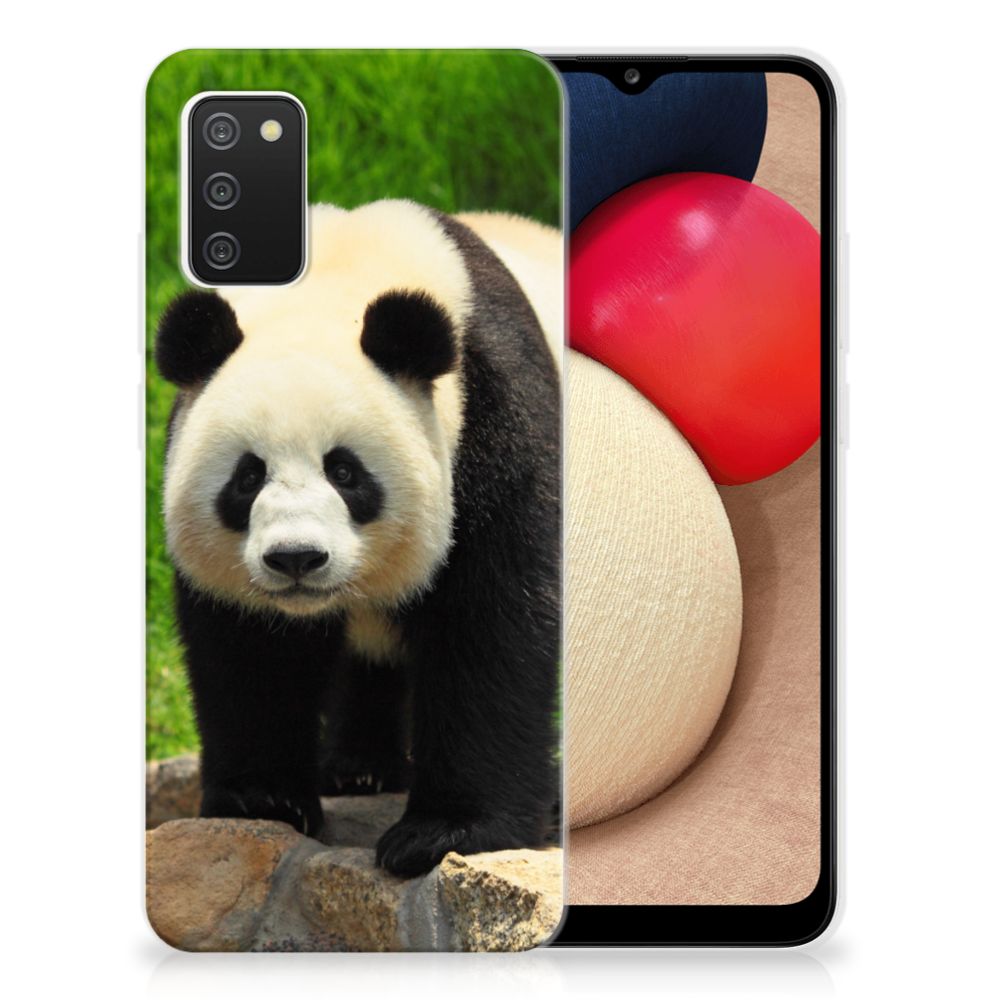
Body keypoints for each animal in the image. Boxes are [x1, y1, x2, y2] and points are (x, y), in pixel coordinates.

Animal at [155, 200, 561, 877]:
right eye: (247, 476)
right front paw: (263, 800)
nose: (296, 558)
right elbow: (250, 649)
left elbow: (492, 625)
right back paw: (358, 769)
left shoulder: (496, 422)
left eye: (344, 472)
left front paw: (444, 832)